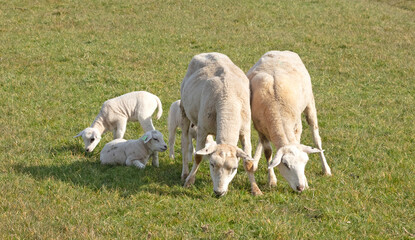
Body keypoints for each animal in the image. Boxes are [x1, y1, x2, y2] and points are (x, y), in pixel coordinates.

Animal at [180, 52, 258, 197]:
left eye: (234, 168)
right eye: (212, 164)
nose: (218, 192)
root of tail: (209, 53)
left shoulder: (245, 132)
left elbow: (248, 163)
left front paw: (255, 189)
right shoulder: (202, 130)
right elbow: (198, 156)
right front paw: (189, 181)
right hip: (184, 110)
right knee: (184, 142)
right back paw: (185, 173)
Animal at [249, 50, 334, 193]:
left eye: (305, 163)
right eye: (285, 164)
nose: (300, 187)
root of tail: (278, 51)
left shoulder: (297, 127)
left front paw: (306, 181)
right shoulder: (260, 127)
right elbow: (268, 152)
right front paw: (272, 180)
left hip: (310, 103)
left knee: (317, 139)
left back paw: (326, 169)